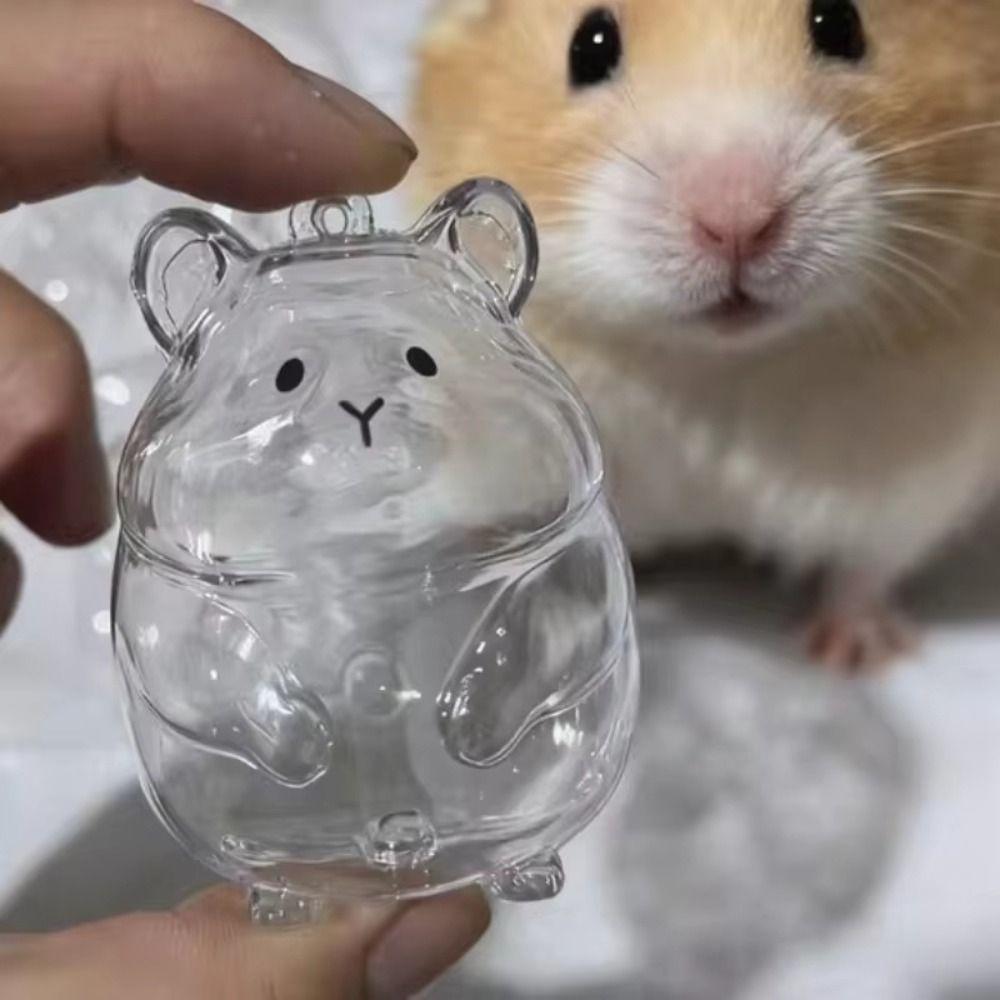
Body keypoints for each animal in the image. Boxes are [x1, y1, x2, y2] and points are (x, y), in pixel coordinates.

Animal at [410, 0, 1000, 670]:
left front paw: (853, 656)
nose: (739, 221)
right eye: (589, 47)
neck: (714, 363)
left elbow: (864, 569)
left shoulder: (917, 485)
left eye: (841, 25)